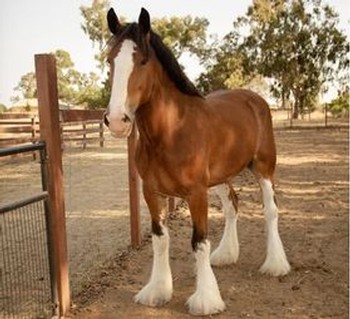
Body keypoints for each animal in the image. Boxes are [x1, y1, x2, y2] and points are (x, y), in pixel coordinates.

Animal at [102, 7, 292, 318]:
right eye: (110, 60)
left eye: (142, 61)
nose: (117, 120)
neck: (170, 131)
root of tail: (255, 99)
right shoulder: (151, 192)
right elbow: (160, 238)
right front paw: (157, 291)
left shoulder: (196, 193)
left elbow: (198, 241)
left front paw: (206, 299)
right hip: (221, 177)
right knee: (232, 206)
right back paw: (226, 255)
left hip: (264, 169)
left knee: (270, 211)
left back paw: (276, 264)